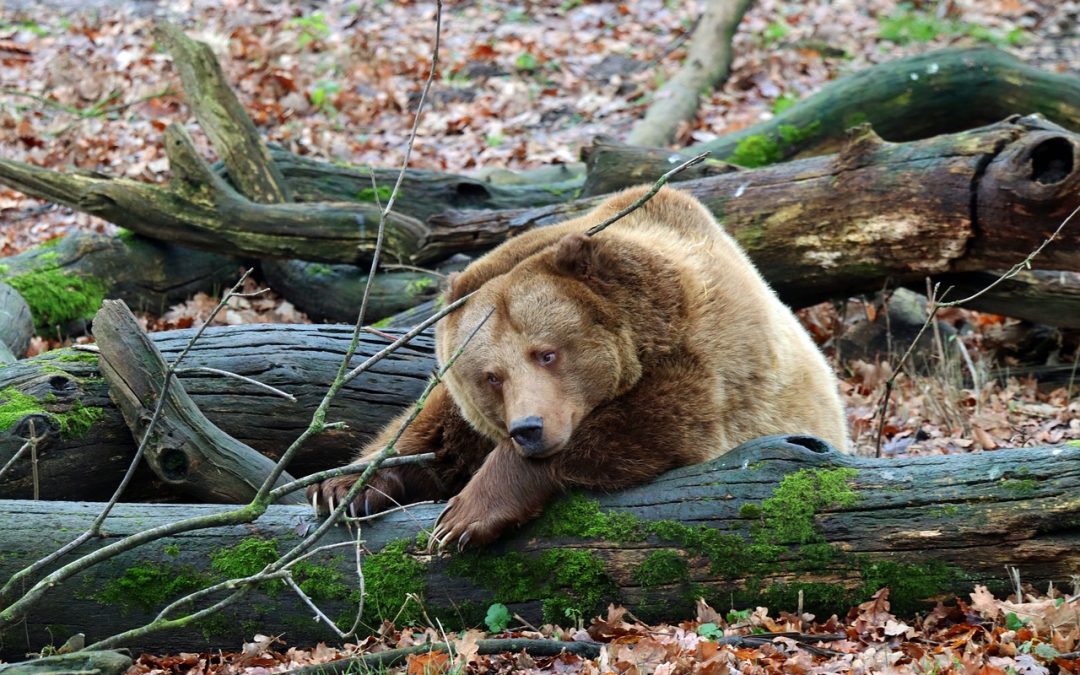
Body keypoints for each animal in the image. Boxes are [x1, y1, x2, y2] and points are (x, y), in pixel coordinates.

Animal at [308, 184, 846, 548]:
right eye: (491, 376)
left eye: (547, 352)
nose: (528, 428)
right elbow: (433, 434)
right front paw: (341, 487)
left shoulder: (708, 363)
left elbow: (647, 426)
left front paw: (464, 517)